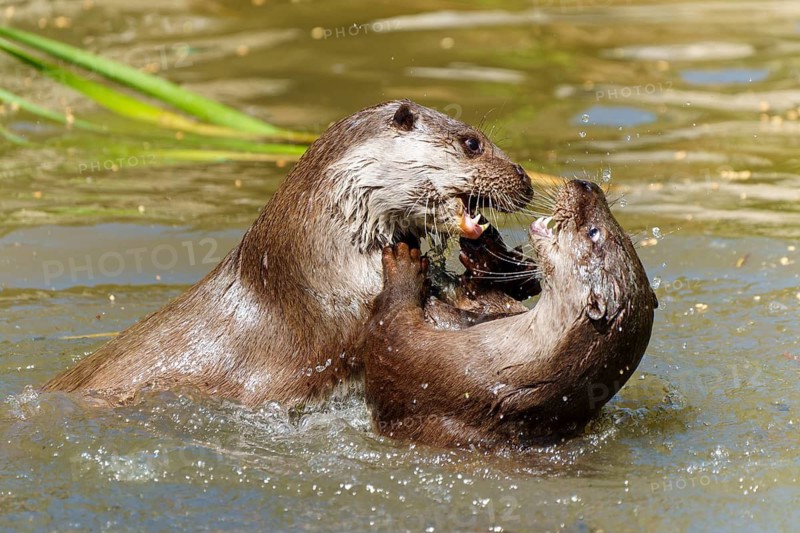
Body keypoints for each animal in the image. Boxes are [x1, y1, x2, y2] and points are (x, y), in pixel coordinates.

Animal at [358, 179, 658, 448]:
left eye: (593, 233)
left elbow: (386, 336)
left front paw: (404, 264)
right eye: (626, 236)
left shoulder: (427, 366)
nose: (588, 185)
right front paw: (487, 252)